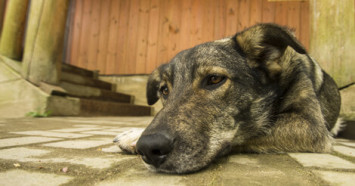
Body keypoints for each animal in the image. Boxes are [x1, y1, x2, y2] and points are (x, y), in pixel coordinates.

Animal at [113, 23, 342, 174]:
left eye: (214, 79)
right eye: (164, 90)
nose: (148, 147)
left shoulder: (310, 125)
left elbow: (253, 129)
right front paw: (134, 134)